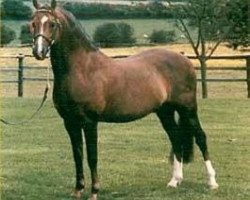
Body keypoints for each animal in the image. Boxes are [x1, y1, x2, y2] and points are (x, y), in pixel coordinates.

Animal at [30, 0, 218, 199]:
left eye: (52, 24)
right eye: (33, 23)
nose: (39, 51)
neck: (82, 69)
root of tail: (184, 59)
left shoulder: (90, 122)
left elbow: (91, 156)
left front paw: (94, 191)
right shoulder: (70, 122)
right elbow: (77, 155)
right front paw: (78, 190)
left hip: (188, 109)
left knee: (200, 137)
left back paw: (212, 182)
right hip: (165, 111)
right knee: (175, 138)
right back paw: (175, 181)